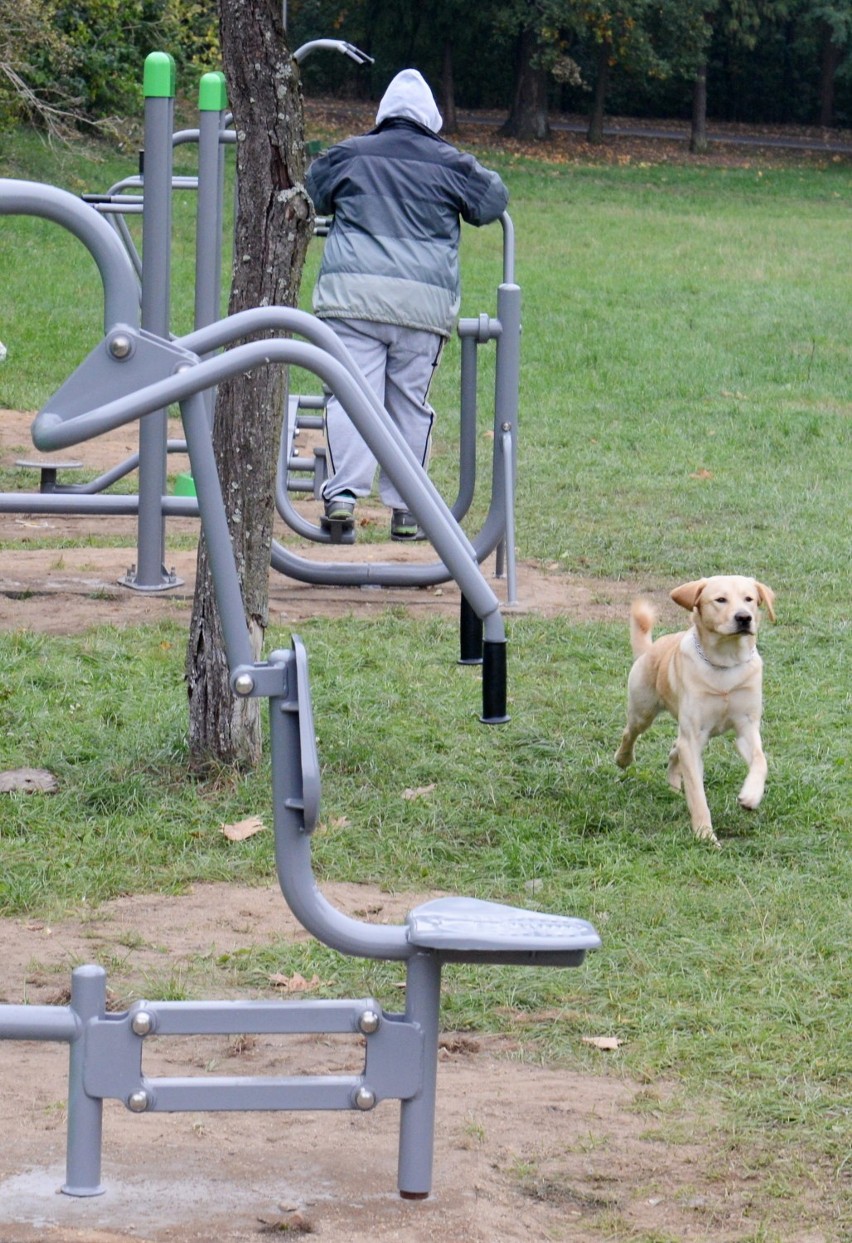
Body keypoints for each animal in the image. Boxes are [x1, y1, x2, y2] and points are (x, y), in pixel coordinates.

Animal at [614, 571, 776, 845]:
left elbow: (760, 760)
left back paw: (672, 786)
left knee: (674, 749)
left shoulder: (746, 727)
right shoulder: (694, 736)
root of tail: (651, 648)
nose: (744, 617)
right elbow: (697, 794)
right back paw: (623, 759)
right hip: (643, 710)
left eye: (749, 599)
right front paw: (705, 835)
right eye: (720, 600)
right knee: (631, 733)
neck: (725, 663)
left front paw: (750, 797)